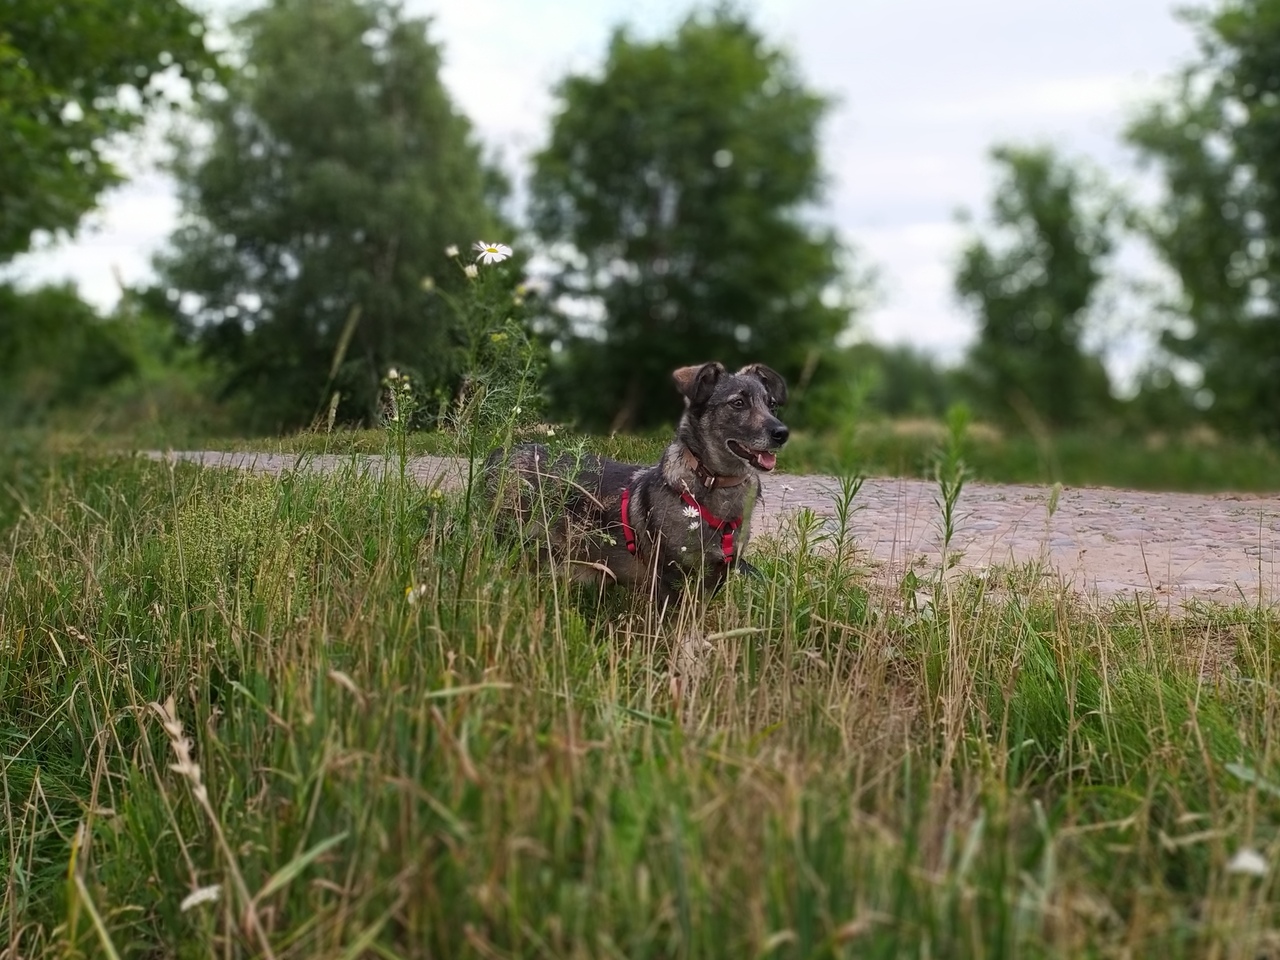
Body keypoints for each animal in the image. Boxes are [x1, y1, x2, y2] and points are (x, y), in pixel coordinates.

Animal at [483, 361, 789, 611]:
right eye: (738, 403)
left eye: (771, 405)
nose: (782, 433)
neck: (713, 484)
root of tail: (503, 454)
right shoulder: (669, 582)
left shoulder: (714, 580)